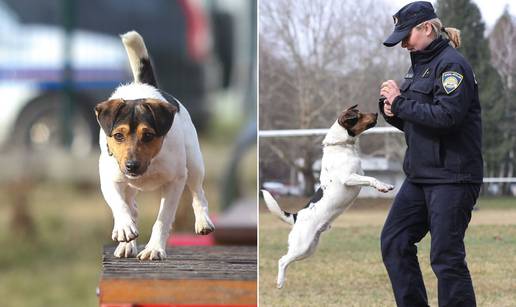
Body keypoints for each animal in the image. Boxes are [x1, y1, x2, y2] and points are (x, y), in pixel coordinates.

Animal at [94, 31, 214, 262]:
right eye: (118, 136)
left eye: (148, 135)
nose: (131, 165)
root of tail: (146, 87)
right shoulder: (110, 179)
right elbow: (119, 205)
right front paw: (124, 229)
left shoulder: (176, 180)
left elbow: (163, 218)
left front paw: (154, 249)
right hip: (128, 184)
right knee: (132, 207)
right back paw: (127, 244)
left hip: (195, 163)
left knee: (198, 192)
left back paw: (203, 221)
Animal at [262, 106, 396, 288]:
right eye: (358, 116)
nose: (376, 113)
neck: (342, 146)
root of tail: (296, 216)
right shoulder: (349, 178)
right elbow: (371, 179)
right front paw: (383, 186)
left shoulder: (358, 175)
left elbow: (370, 178)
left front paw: (385, 185)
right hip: (301, 246)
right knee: (282, 260)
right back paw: (280, 282)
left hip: (309, 249)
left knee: (287, 259)